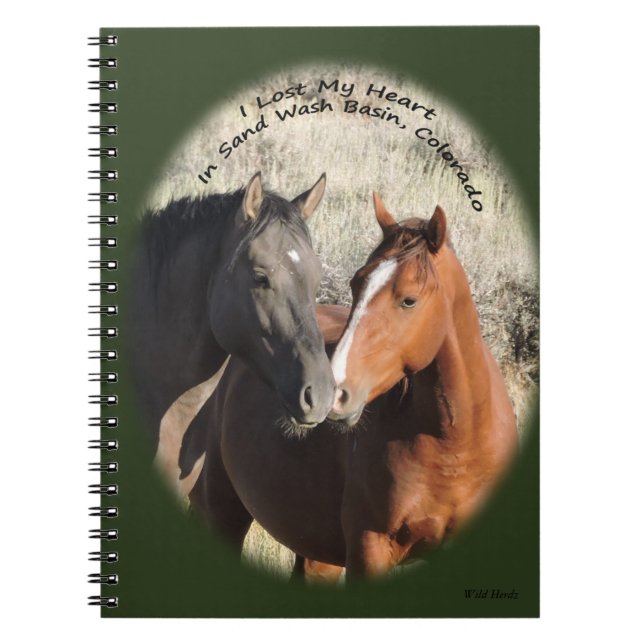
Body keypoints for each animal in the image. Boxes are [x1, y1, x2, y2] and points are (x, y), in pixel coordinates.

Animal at [190, 193, 518, 580]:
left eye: (409, 300)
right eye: (356, 284)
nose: (334, 392)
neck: (454, 446)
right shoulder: (368, 548)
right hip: (224, 508)